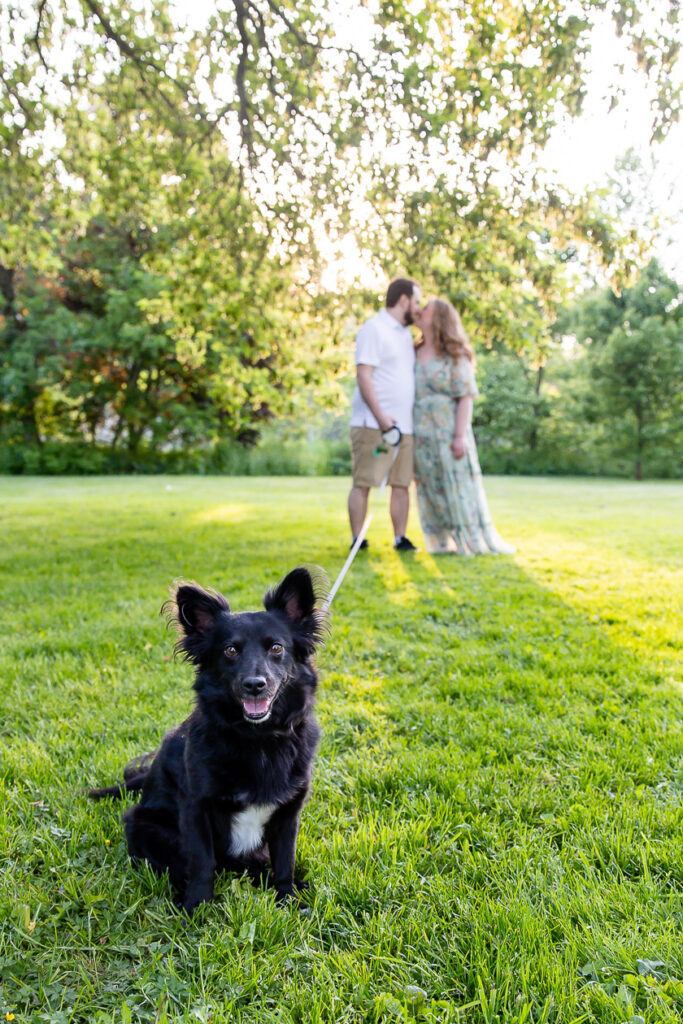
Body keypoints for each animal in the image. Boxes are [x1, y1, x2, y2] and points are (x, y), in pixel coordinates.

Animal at [89, 569, 327, 913]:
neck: (258, 739)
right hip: (146, 826)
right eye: (230, 651)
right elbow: (202, 863)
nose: (254, 685)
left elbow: (285, 861)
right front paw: (195, 909)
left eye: (276, 648)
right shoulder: (196, 809)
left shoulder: (288, 813)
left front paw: (288, 899)